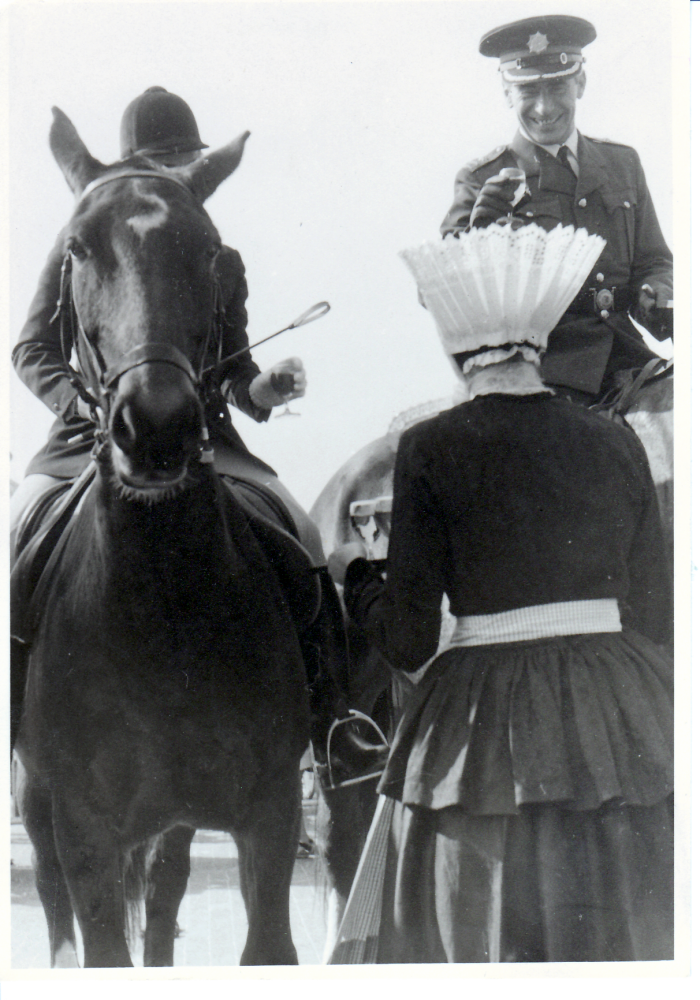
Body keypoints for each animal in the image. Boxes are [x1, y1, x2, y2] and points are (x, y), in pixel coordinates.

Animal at [10, 109, 314, 968]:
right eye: (77, 248)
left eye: (209, 250)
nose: (156, 429)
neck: (162, 598)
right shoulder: (83, 830)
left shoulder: (272, 814)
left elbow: (263, 943)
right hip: (39, 803)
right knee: (55, 904)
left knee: (167, 886)